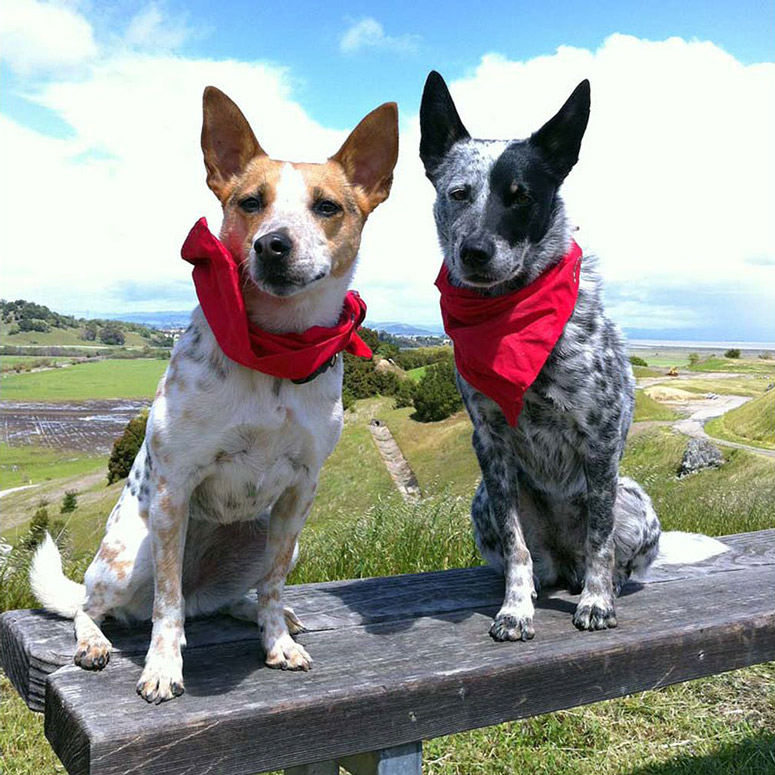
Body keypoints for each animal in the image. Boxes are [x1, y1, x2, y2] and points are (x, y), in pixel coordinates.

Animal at [30, 86, 400, 704]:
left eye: (327, 207)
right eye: (250, 201)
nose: (273, 245)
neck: (274, 348)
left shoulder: (300, 491)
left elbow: (273, 585)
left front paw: (277, 641)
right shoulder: (175, 489)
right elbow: (167, 604)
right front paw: (162, 667)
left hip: (269, 536)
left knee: (229, 599)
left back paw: (256, 613)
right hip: (132, 554)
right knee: (95, 606)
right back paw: (96, 642)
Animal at [422, 71, 724, 644]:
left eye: (520, 197)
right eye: (458, 193)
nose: (474, 252)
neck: (510, 319)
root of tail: (564, 562)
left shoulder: (600, 441)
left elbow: (600, 540)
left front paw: (598, 603)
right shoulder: (489, 444)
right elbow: (516, 547)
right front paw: (515, 608)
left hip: (634, 497)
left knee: (605, 555)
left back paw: (600, 584)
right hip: (482, 499)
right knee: (533, 559)